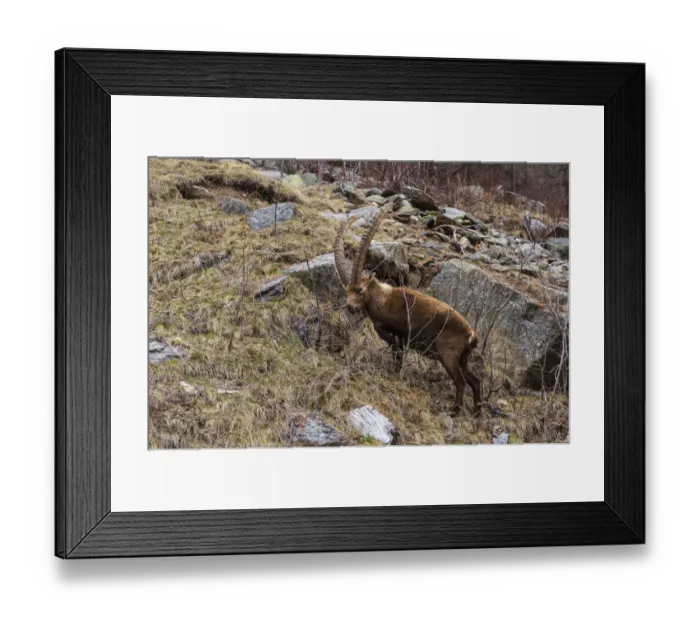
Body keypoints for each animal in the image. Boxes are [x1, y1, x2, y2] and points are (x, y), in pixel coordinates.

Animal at [334, 207, 482, 414]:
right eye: (346, 290)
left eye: (360, 290)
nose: (350, 306)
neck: (383, 299)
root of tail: (470, 333)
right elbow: (397, 354)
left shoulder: (398, 331)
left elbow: (395, 347)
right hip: (463, 358)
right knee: (475, 380)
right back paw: (477, 410)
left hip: (448, 355)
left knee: (461, 381)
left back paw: (455, 409)